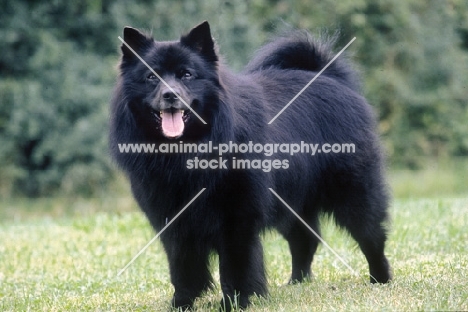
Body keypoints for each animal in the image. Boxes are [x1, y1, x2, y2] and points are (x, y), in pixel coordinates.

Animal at [109, 21, 392, 310]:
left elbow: (236, 265)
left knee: (371, 237)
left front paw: (236, 301)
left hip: (354, 194)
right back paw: (297, 283)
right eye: (151, 77)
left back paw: (380, 279)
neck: (190, 149)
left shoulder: (238, 216)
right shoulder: (173, 219)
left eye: (186, 74)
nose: (170, 94)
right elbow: (183, 266)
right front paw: (182, 302)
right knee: (304, 241)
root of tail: (331, 78)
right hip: (293, 203)